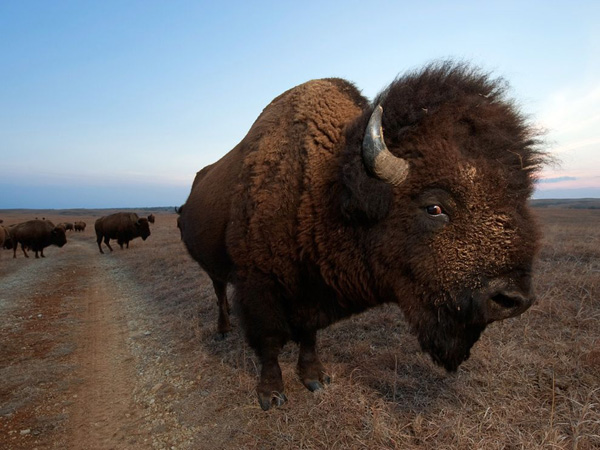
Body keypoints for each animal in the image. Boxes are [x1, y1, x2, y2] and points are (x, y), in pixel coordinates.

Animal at [178, 62, 548, 412]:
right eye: (434, 207)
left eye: (519, 199)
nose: (513, 299)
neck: (322, 188)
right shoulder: (258, 286)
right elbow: (268, 342)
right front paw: (271, 395)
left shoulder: (310, 293)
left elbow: (308, 334)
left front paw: (315, 379)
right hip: (214, 268)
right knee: (219, 292)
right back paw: (223, 330)